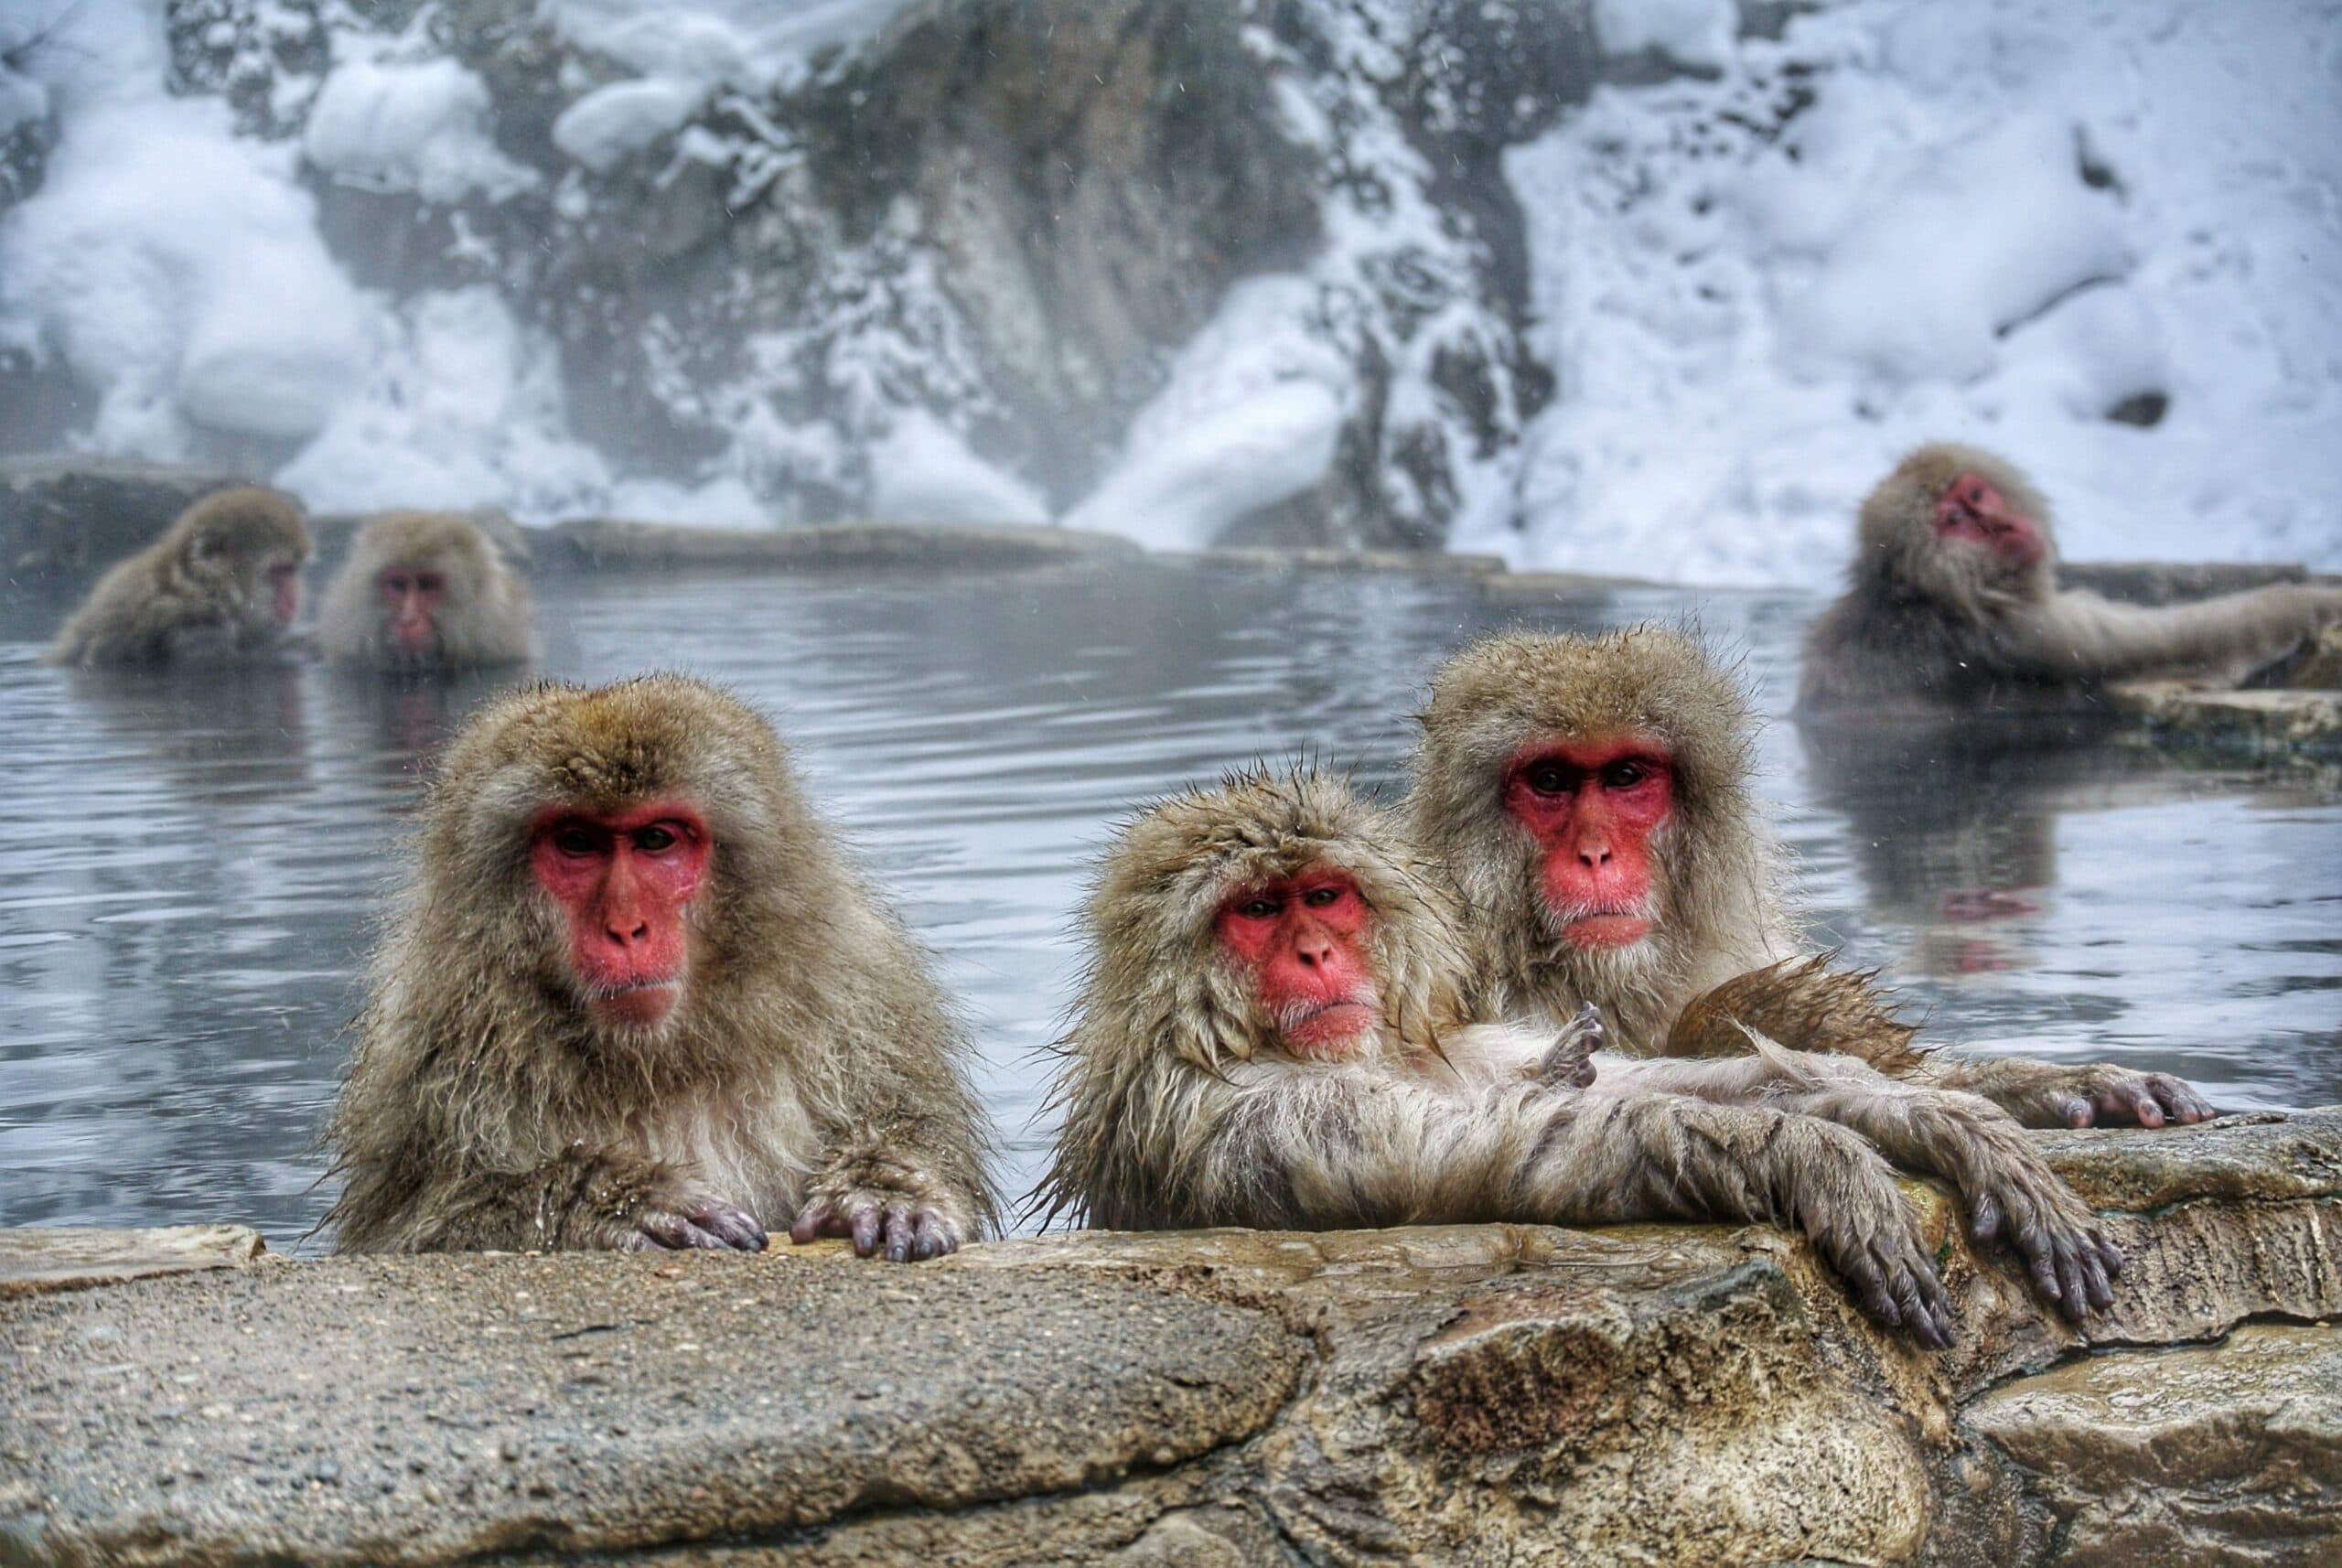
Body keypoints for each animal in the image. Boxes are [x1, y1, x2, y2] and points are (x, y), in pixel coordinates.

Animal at [323, 674, 996, 1259]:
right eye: (577, 842)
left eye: (656, 841)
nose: (625, 927)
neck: (658, 1057)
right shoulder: (427, 1050)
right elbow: (409, 1235)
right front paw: (608, 1200)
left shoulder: (862, 993)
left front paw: (884, 1186)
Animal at [1033, 767, 2135, 1346]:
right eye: (1258, 911)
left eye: (1325, 897)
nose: (1314, 954)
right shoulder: (1238, 1113)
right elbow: (1519, 1152)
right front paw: (1813, 1160)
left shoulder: (1451, 1042)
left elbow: (1661, 1079)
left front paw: (1949, 1122)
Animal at [1798, 443, 2342, 714]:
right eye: (1955, 523)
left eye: (1975, 496)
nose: (2003, 526)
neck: (1933, 598)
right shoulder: (2023, 629)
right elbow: (2185, 637)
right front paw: (2307, 602)